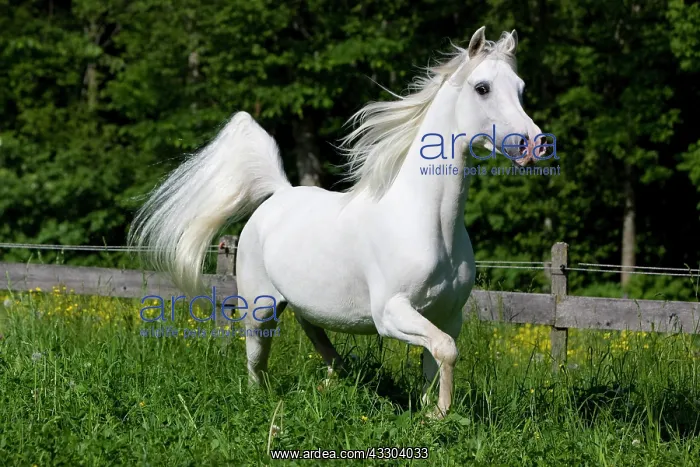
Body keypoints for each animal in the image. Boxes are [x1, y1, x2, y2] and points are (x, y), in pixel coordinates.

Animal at [129, 26, 546, 419]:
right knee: (255, 360)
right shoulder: (390, 313)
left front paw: (431, 412)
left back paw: (331, 381)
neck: (430, 224)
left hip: (302, 303)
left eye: (522, 89)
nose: (534, 144)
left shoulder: (448, 315)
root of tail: (278, 193)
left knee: (315, 333)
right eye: (482, 87)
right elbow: (447, 349)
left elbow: (439, 358)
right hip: (260, 309)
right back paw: (264, 400)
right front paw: (440, 414)